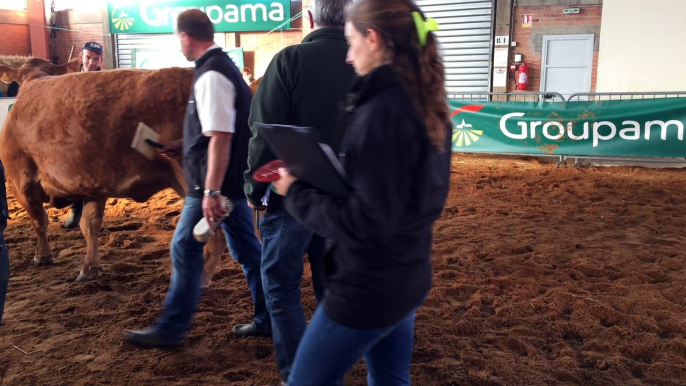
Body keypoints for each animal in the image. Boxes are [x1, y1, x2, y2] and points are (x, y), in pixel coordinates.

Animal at [0, 67, 226, 284]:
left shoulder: (20, 180)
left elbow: (39, 219)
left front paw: (42, 256)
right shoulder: (91, 184)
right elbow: (89, 224)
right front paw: (90, 268)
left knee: (215, 236)